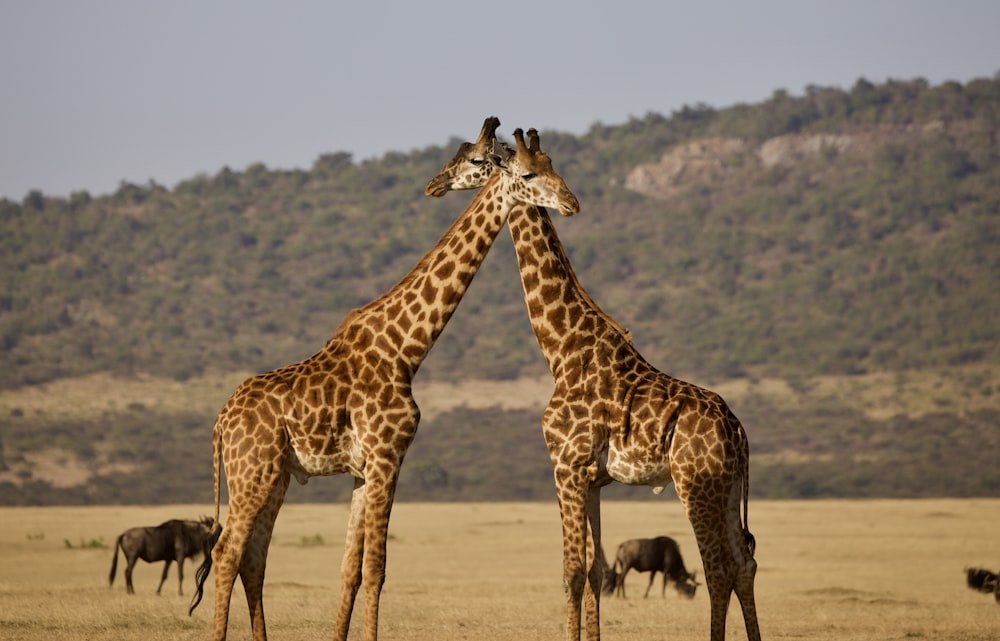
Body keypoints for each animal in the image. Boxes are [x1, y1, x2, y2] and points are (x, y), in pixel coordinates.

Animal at [188, 117, 580, 640]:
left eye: (552, 164)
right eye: (526, 173)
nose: (572, 201)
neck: (405, 349)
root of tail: (220, 424)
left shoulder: (362, 469)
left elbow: (349, 569)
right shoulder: (387, 456)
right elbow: (376, 568)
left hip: (275, 476)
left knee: (253, 557)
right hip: (253, 472)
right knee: (226, 551)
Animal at [426, 127, 760, 636]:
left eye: (475, 159)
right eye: (533, 170)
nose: (435, 183)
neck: (561, 348)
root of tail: (738, 430)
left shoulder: (565, 465)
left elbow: (571, 571)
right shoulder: (595, 479)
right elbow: (596, 570)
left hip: (696, 484)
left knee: (718, 567)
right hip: (726, 488)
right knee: (745, 562)